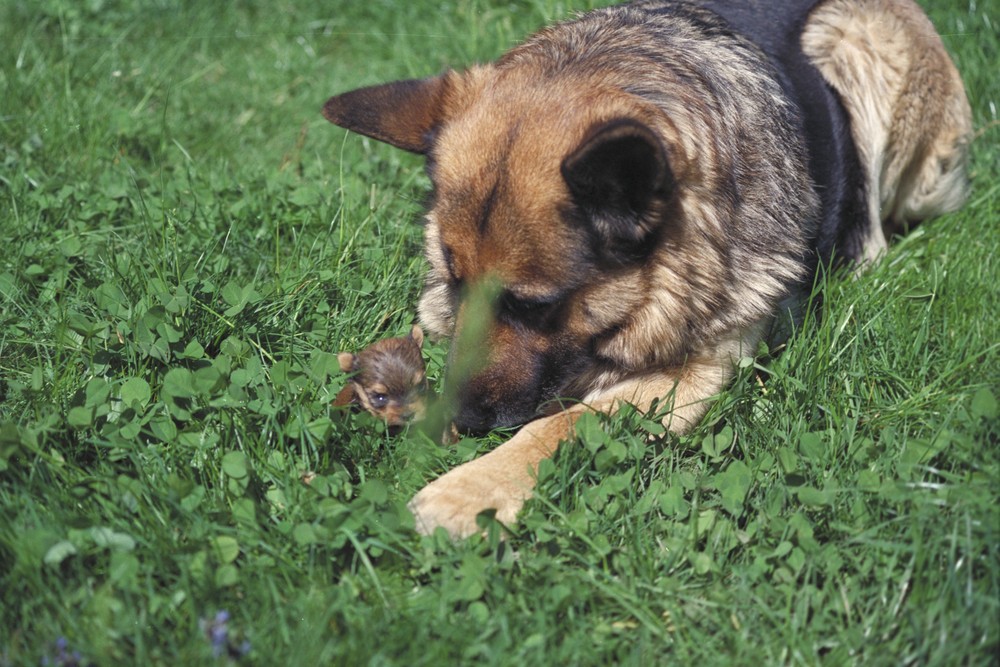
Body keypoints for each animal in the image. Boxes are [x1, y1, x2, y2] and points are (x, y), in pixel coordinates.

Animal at [324, 0, 972, 536]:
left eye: (533, 306)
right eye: (458, 285)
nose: (460, 419)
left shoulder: (694, 371)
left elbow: (559, 425)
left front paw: (466, 491)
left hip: (862, 40)